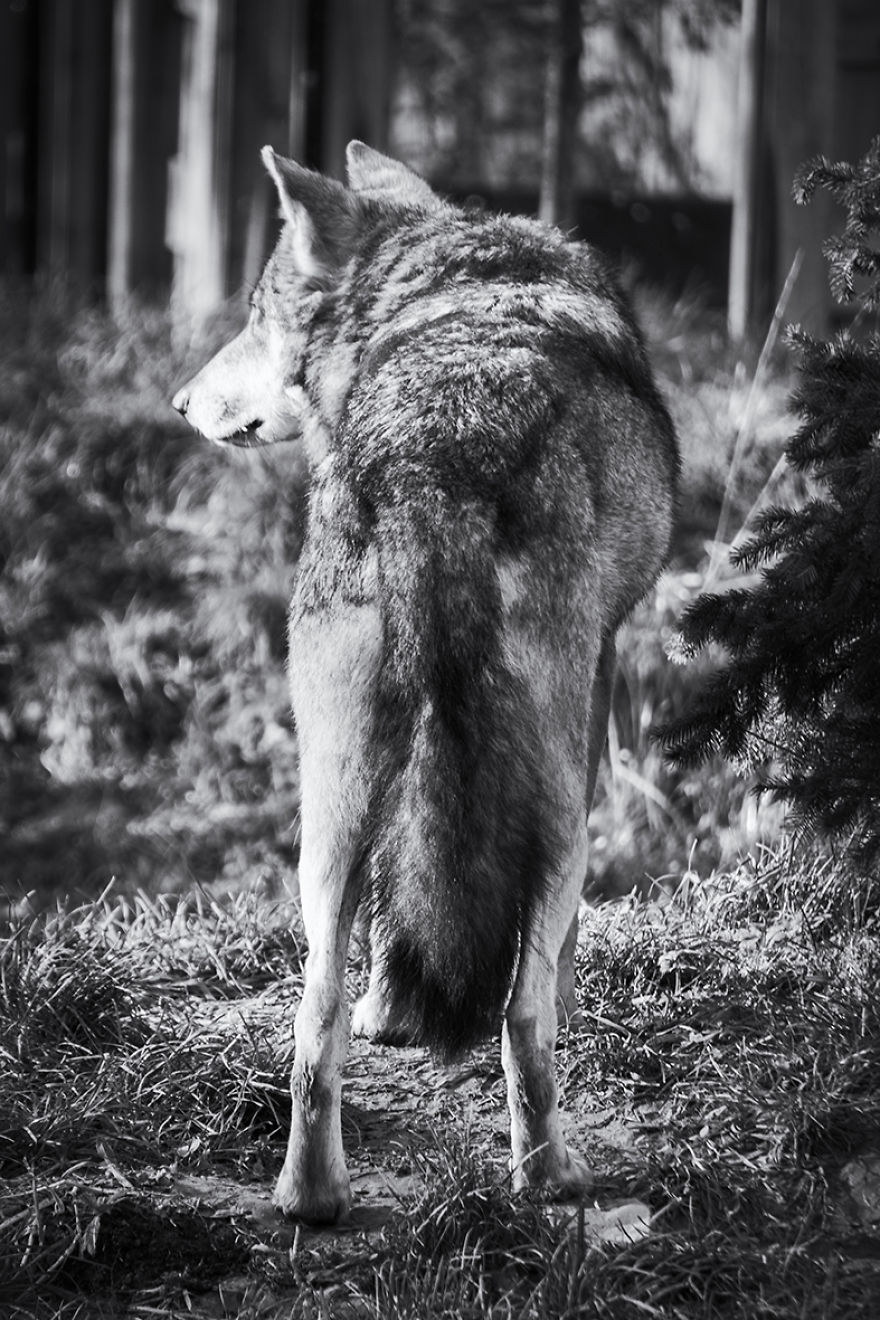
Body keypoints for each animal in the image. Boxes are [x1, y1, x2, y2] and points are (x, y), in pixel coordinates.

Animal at [172, 142, 678, 1224]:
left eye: (256, 316)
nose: (181, 403)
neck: (454, 276)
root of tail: (432, 464)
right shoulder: (603, 679)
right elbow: (557, 959)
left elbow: (396, 907)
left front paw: (390, 1010)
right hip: (555, 812)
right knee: (521, 1020)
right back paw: (550, 1176)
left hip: (327, 810)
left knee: (313, 1012)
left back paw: (311, 1195)